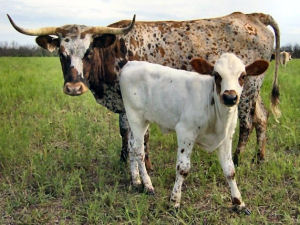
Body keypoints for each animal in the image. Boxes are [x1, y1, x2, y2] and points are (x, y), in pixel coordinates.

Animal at [119, 53, 270, 212]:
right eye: (216, 75)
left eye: (243, 76)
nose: (230, 97)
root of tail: (130, 63)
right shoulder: (185, 131)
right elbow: (183, 168)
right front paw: (174, 201)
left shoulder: (226, 137)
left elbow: (230, 170)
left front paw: (239, 202)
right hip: (136, 117)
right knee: (139, 151)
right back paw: (148, 185)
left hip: (137, 119)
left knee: (131, 146)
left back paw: (135, 180)